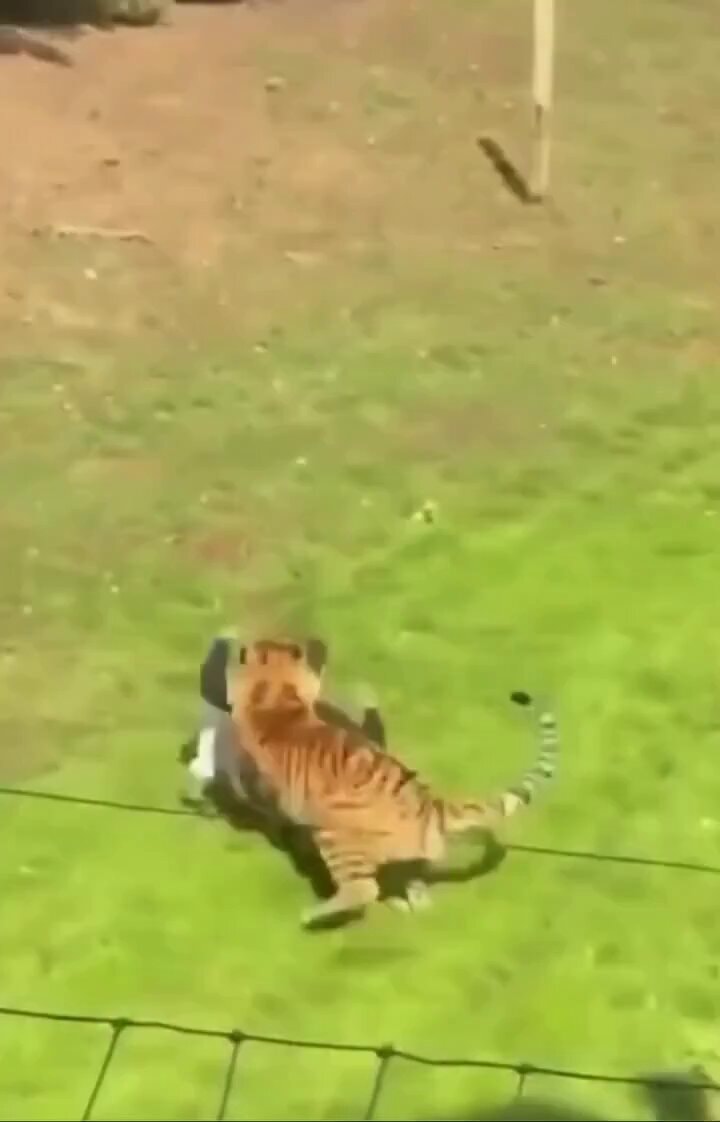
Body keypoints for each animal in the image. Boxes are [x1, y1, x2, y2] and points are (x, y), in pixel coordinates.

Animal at [225, 637, 559, 928]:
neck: (276, 695)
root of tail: (428, 804)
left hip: (335, 836)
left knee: (363, 888)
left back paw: (314, 915)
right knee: (410, 882)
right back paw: (412, 906)